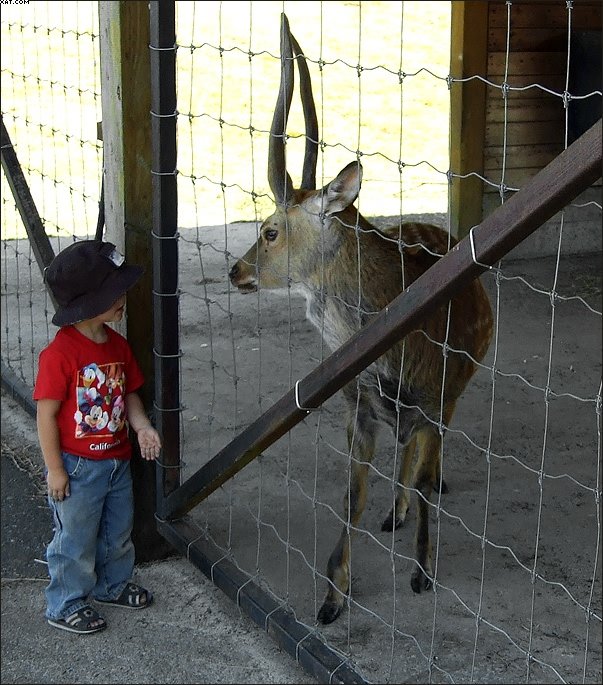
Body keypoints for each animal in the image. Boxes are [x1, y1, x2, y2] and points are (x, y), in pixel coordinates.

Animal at [229, 14, 494, 624]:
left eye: (270, 230)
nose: (236, 270)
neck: (398, 359)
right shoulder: (356, 407)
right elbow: (352, 496)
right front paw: (333, 596)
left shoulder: (434, 396)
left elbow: (423, 481)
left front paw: (422, 573)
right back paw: (394, 512)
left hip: (458, 386)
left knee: (428, 457)